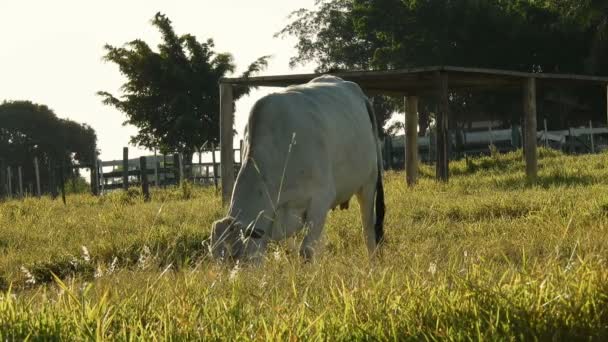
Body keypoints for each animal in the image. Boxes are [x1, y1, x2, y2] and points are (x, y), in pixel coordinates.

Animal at [210, 75, 384, 262]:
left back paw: (372, 262)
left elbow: (306, 251)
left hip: (368, 184)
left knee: (368, 231)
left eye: (237, 256)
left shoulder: (320, 199)